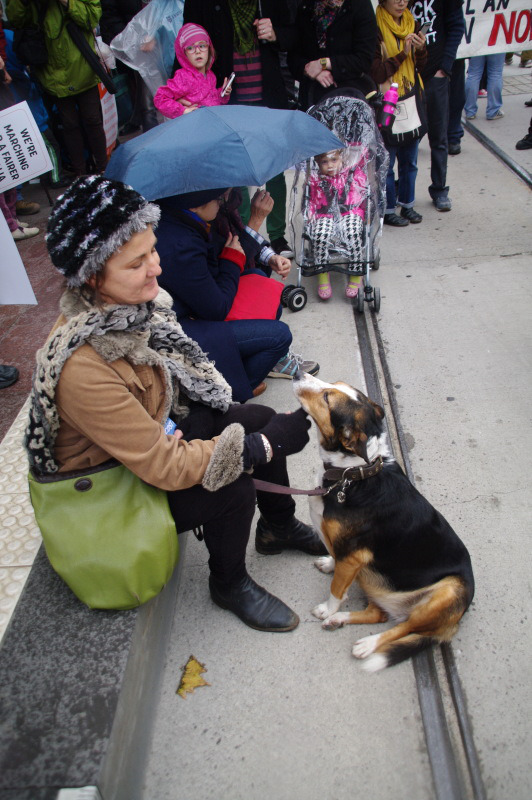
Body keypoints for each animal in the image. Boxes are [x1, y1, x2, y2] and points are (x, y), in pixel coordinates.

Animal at [296, 372, 474, 672]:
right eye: (333, 385)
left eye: (327, 398)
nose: (297, 372)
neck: (353, 474)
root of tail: (453, 624)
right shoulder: (347, 556)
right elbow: (335, 561)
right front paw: (329, 564)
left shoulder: (353, 557)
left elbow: (336, 589)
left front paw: (327, 609)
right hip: (372, 582)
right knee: (379, 614)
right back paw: (341, 620)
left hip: (448, 592)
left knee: (404, 627)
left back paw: (367, 643)